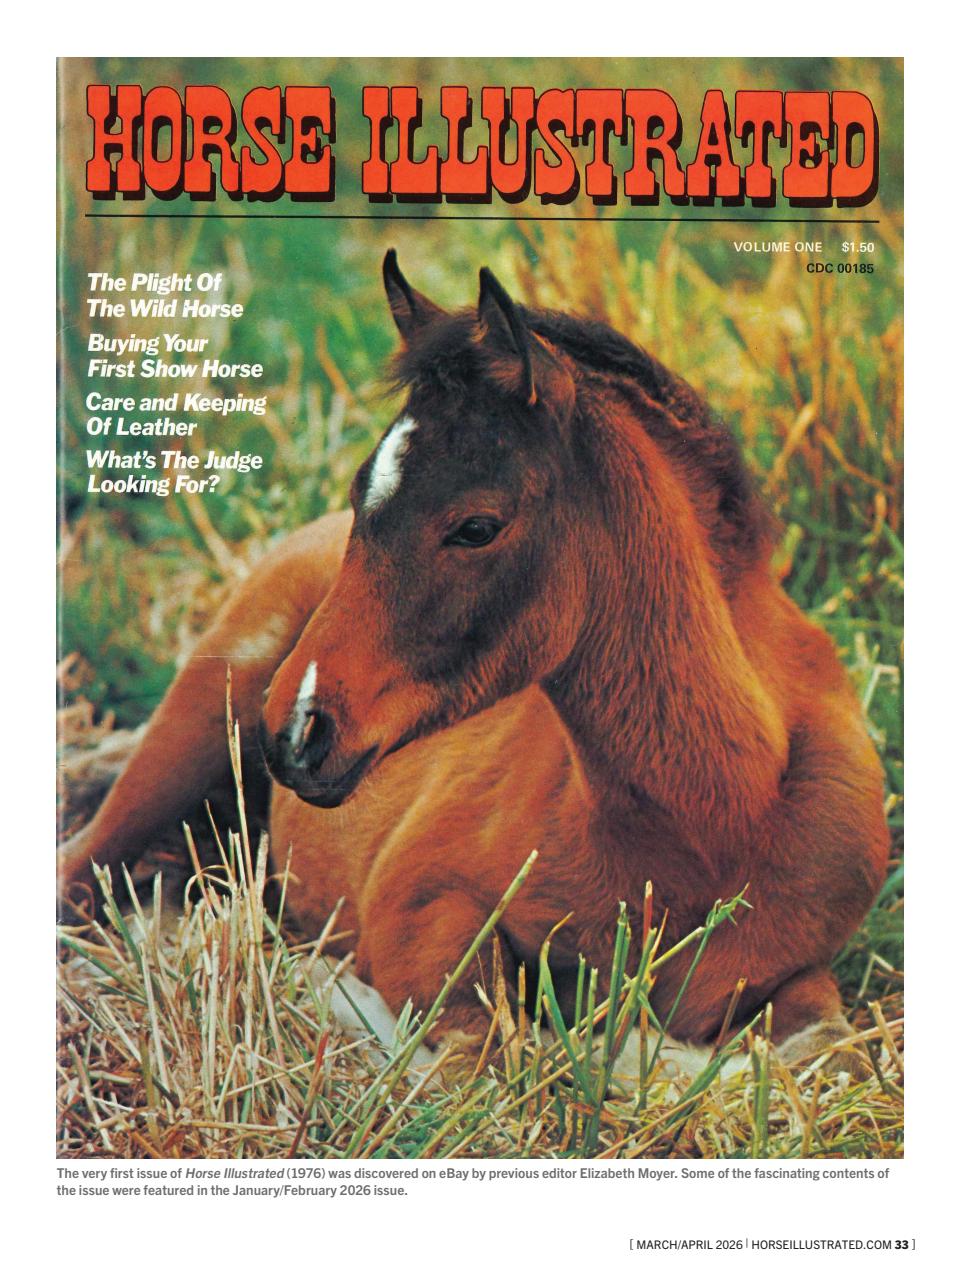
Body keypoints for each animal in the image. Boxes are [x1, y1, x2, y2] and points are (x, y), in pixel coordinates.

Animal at [59, 251, 890, 1069]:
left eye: (477, 527)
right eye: (361, 496)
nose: (295, 731)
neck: (711, 827)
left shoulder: (798, 973)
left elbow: (829, 1050)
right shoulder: (419, 902)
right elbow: (485, 1048)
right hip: (199, 720)